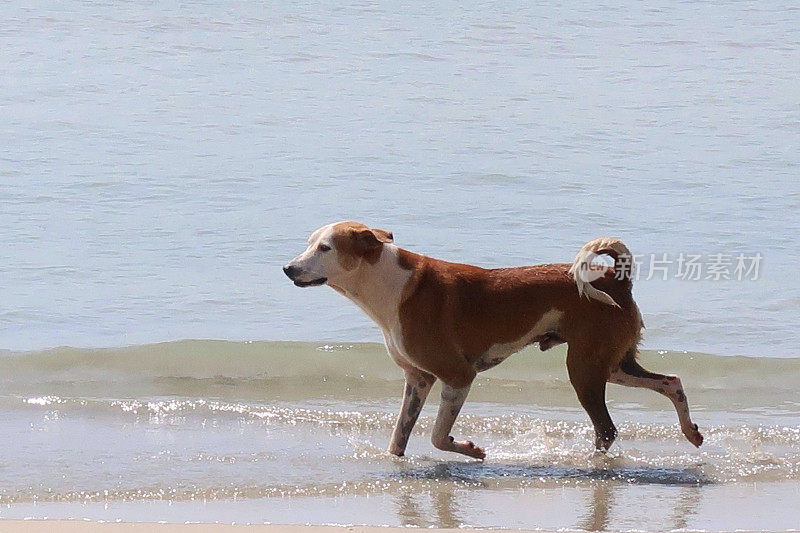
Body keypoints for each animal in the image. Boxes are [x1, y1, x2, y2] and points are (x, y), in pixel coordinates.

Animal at [284, 220, 704, 458]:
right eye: (308, 243)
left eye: (325, 248)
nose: (288, 268)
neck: (392, 284)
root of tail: (615, 279)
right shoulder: (417, 380)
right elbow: (398, 438)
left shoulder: (458, 376)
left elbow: (437, 436)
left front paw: (469, 449)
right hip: (612, 364)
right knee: (671, 382)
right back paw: (690, 431)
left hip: (584, 369)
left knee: (607, 429)